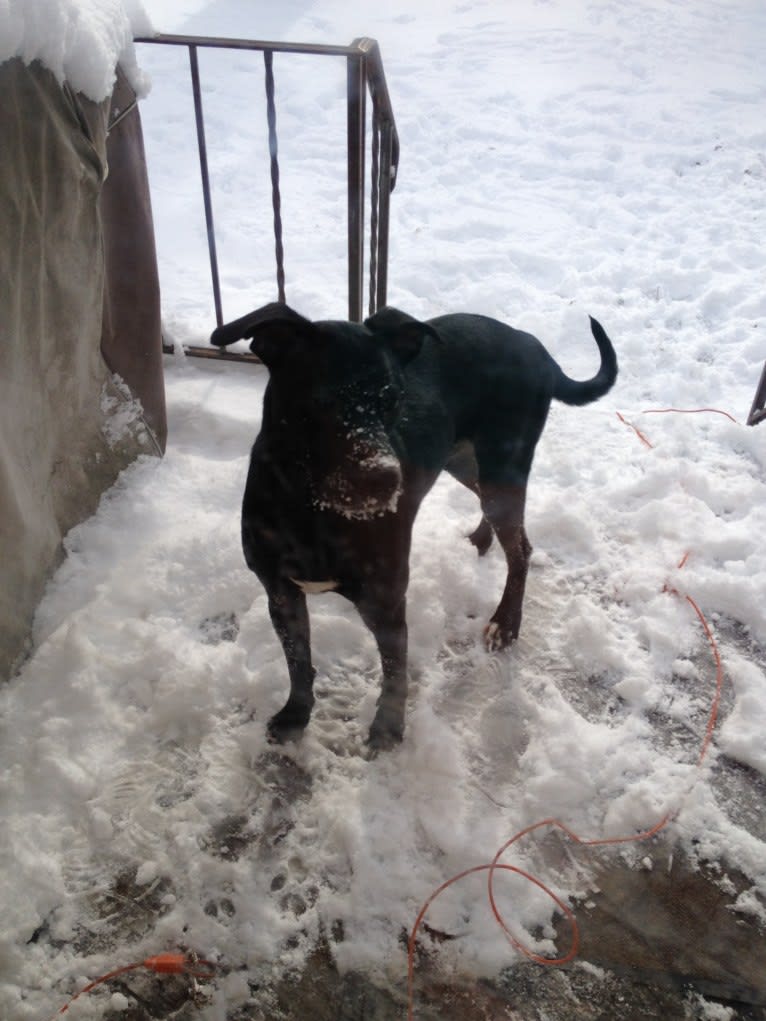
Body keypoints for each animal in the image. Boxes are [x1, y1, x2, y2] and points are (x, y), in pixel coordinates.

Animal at [210, 302, 616, 751]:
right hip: (464, 462)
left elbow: (395, 672)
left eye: (394, 400)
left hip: (502, 466)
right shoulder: (281, 593)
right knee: (496, 518)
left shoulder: (385, 603)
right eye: (320, 400)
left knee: (521, 548)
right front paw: (295, 716)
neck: (313, 511)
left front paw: (388, 728)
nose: (386, 479)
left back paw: (506, 622)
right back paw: (480, 539)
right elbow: (299, 663)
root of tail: (535, 346)